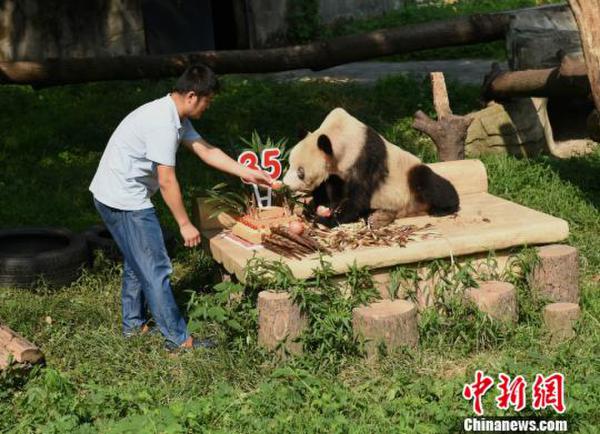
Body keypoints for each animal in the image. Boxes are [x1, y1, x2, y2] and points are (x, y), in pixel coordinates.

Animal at [282, 107, 460, 227]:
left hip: (410, 176)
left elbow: (359, 197)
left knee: (427, 181)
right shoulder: (335, 171)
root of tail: (414, 209)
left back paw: (443, 208)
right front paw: (318, 208)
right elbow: (331, 189)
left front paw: (329, 218)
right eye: (289, 164)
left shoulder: (366, 158)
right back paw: (377, 216)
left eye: (300, 172)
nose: (286, 184)